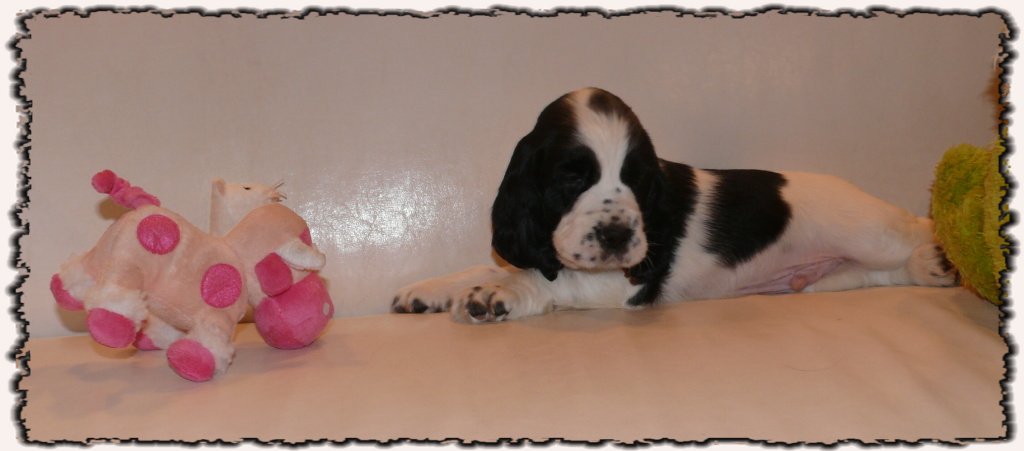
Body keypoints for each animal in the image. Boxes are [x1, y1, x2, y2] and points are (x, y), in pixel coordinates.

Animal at [392, 87, 958, 323]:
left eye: (636, 179)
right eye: (572, 178)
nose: (618, 236)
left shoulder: (625, 282)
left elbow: (541, 280)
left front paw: (498, 294)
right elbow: (490, 265)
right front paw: (429, 290)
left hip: (868, 230)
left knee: (915, 226)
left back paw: (941, 255)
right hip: (826, 278)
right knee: (883, 273)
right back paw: (929, 268)